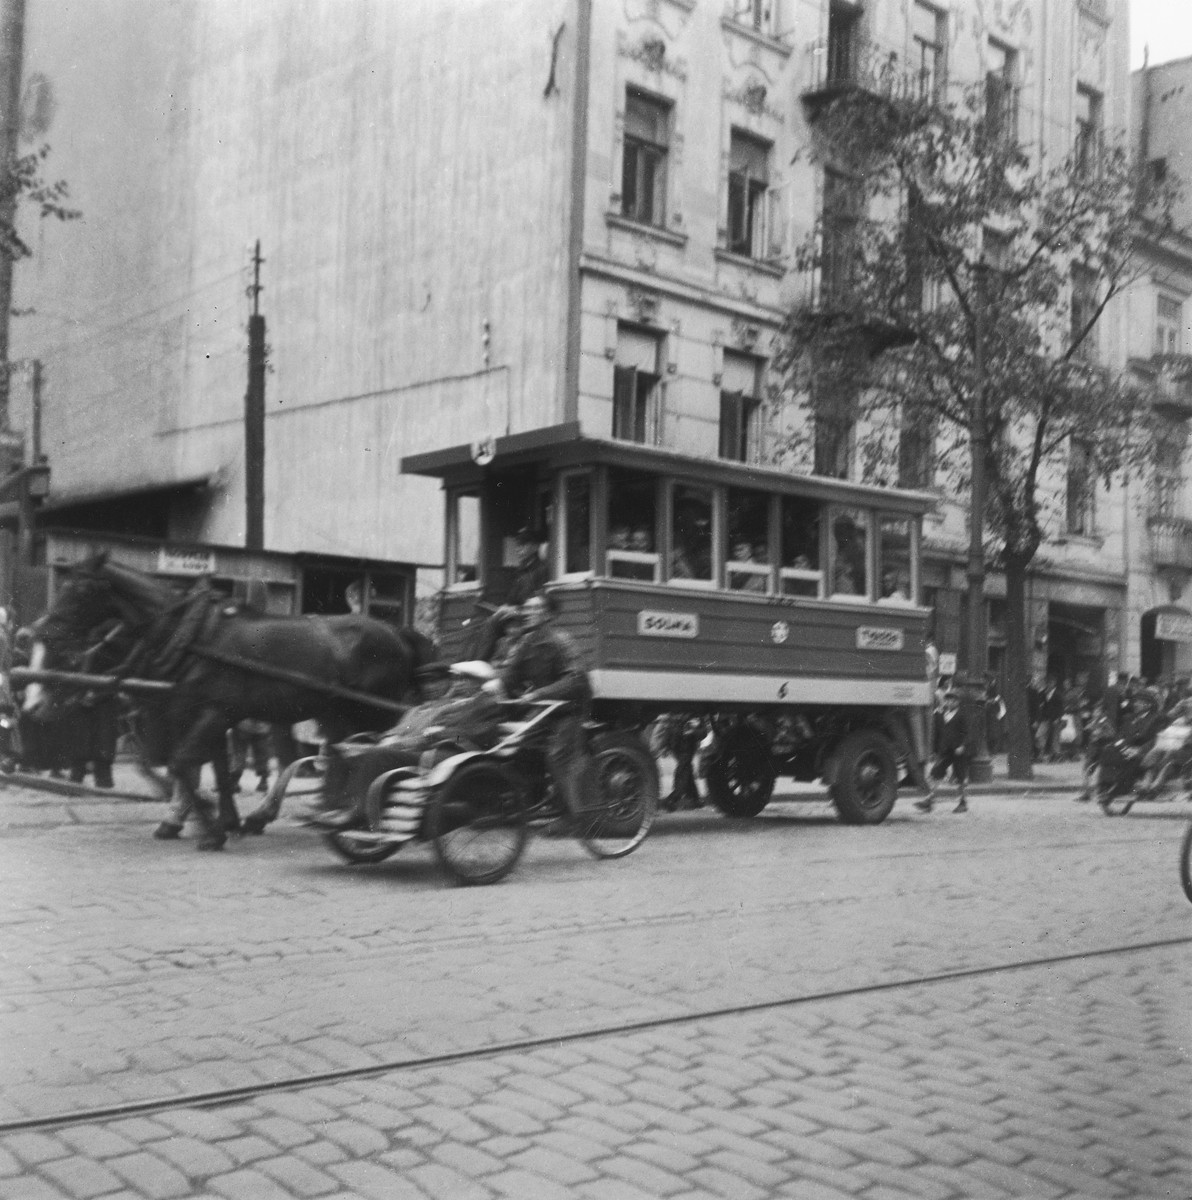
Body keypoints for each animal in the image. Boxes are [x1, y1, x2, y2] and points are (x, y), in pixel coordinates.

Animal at [23, 554, 436, 849]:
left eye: (81, 591)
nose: (43, 628)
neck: (192, 638)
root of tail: (398, 631)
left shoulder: (211, 714)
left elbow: (182, 763)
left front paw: (207, 825)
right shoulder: (201, 716)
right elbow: (210, 770)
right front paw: (220, 820)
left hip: (373, 711)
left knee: (383, 755)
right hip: (337, 713)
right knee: (337, 755)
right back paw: (319, 810)